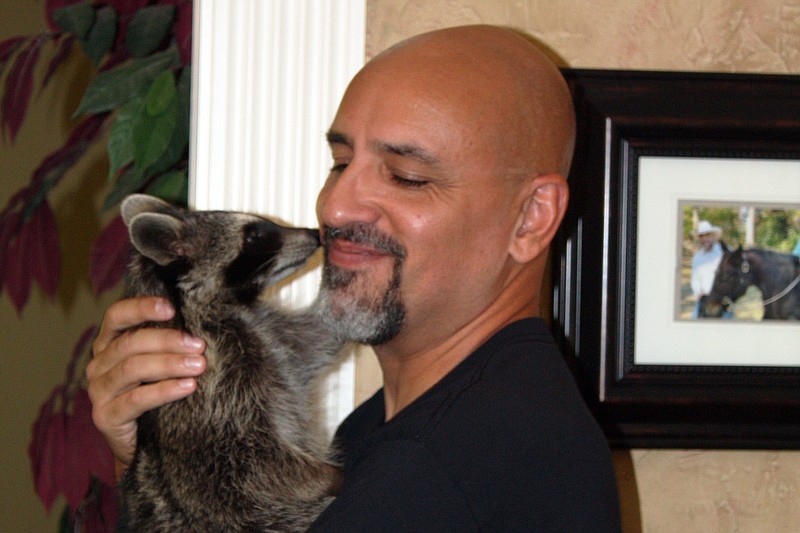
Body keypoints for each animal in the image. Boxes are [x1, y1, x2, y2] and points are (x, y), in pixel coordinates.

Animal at [116, 193, 344, 528]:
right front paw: (327, 476)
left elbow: (313, 341)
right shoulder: (214, 388)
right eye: (253, 236)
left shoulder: (270, 337)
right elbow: (256, 463)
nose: (314, 234)